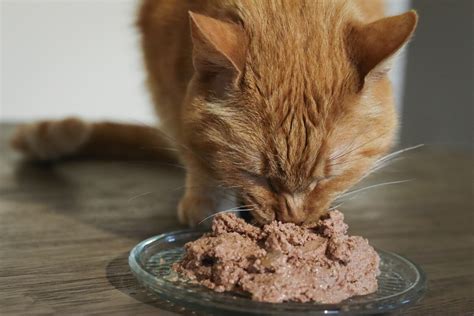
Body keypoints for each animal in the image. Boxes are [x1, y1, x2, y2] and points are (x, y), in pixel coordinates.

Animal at [11, 0, 418, 227]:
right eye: (257, 176)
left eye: (326, 179)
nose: (292, 221)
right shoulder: (162, 70)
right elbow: (192, 147)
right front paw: (206, 201)